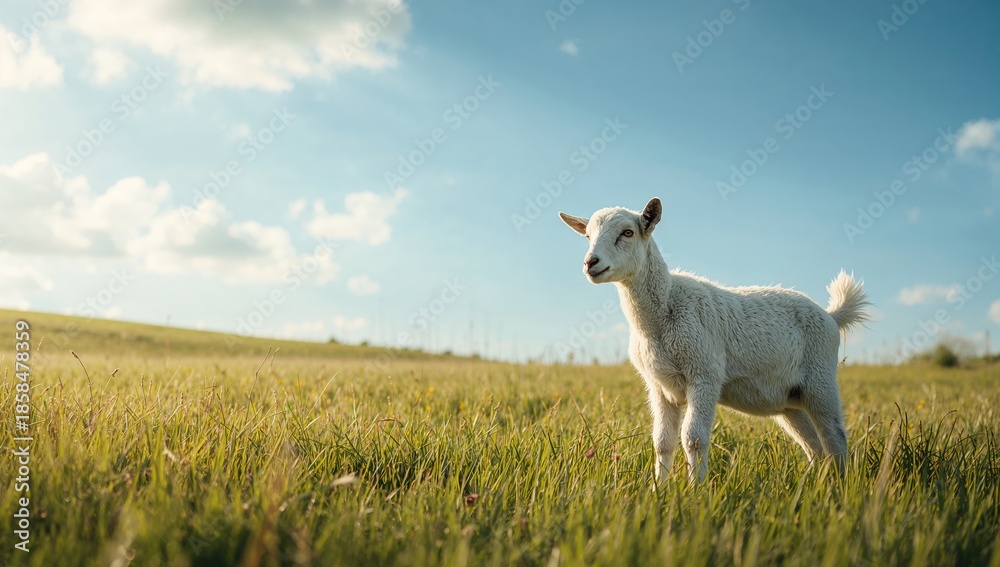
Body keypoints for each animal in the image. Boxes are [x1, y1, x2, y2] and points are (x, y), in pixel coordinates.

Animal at [559, 197, 871, 483]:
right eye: (587, 236)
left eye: (627, 233)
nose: (591, 263)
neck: (662, 312)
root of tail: (831, 316)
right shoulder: (659, 386)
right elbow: (662, 442)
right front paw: (659, 490)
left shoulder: (705, 374)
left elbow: (693, 438)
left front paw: (695, 490)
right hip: (789, 399)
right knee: (815, 446)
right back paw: (814, 484)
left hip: (821, 379)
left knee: (835, 436)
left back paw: (841, 486)